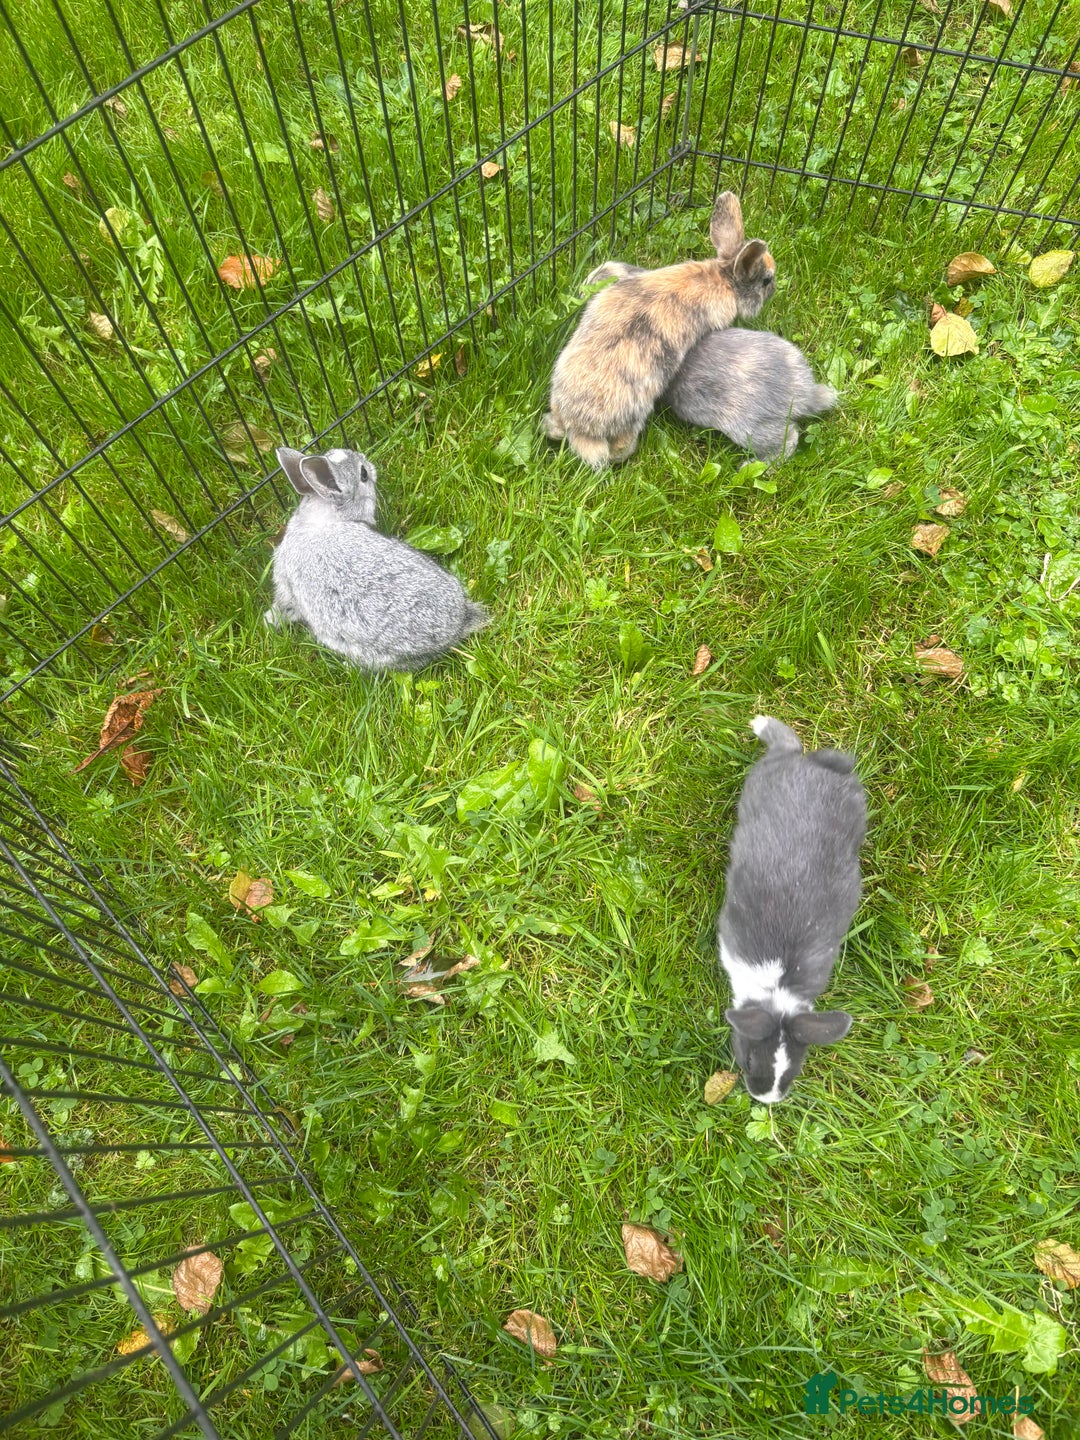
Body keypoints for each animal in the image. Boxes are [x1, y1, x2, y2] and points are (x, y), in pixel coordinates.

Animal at [718, 715, 867, 1104]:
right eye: (749, 1059)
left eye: (796, 1068)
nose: (766, 1099)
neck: (777, 986)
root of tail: (810, 767)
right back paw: (761, 723)